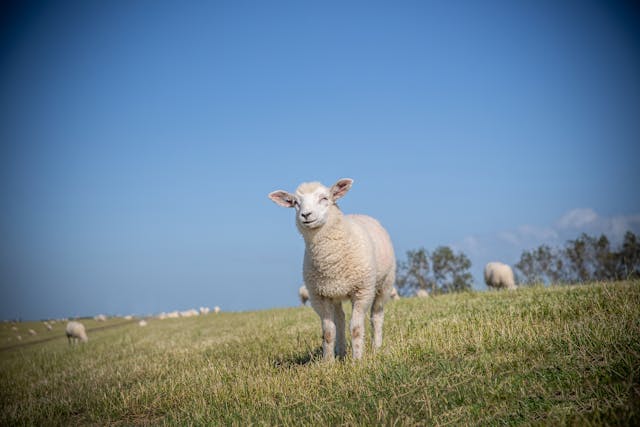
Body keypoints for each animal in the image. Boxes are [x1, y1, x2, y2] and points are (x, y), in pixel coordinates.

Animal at [268, 177, 396, 362]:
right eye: (296, 203)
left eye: (324, 198)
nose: (305, 215)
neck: (330, 260)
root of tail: (361, 214)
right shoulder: (319, 296)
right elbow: (328, 331)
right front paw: (328, 362)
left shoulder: (362, 291)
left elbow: (356, 328)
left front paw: (357, 361)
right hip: (334, 292)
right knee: (340, 319)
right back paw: (341, 352)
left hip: (384, 284)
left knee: (376, 315)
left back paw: (376, 347)